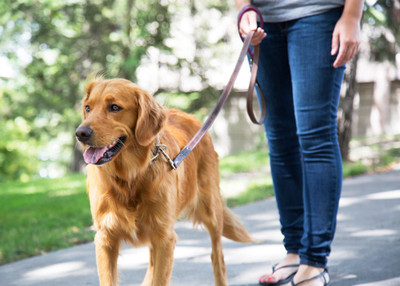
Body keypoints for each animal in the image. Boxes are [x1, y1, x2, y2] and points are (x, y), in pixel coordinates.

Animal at [76, 77, 253, 286]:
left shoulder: (164, 238)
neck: (130, 177)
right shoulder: (105, 239)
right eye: (88, 108)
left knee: (217, 256)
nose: (80, 133)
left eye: (114, 107)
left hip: (211, 211)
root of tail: (192, 117)